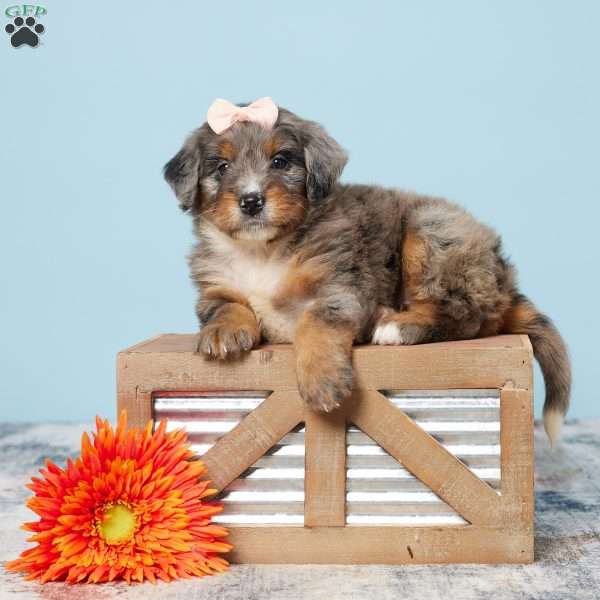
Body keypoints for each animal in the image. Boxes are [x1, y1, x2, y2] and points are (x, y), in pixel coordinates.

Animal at [165, 98, 572, 442]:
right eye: (221, 168)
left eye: (280, 161)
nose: (251, 201)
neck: (263, 250)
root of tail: (504, 277)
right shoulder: (214, 286)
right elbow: (225, 305)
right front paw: (224, 333)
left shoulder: (341, 285)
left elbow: (316, 322)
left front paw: (322, 381)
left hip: (430, 233)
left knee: (468, 314)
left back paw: (398, 326)